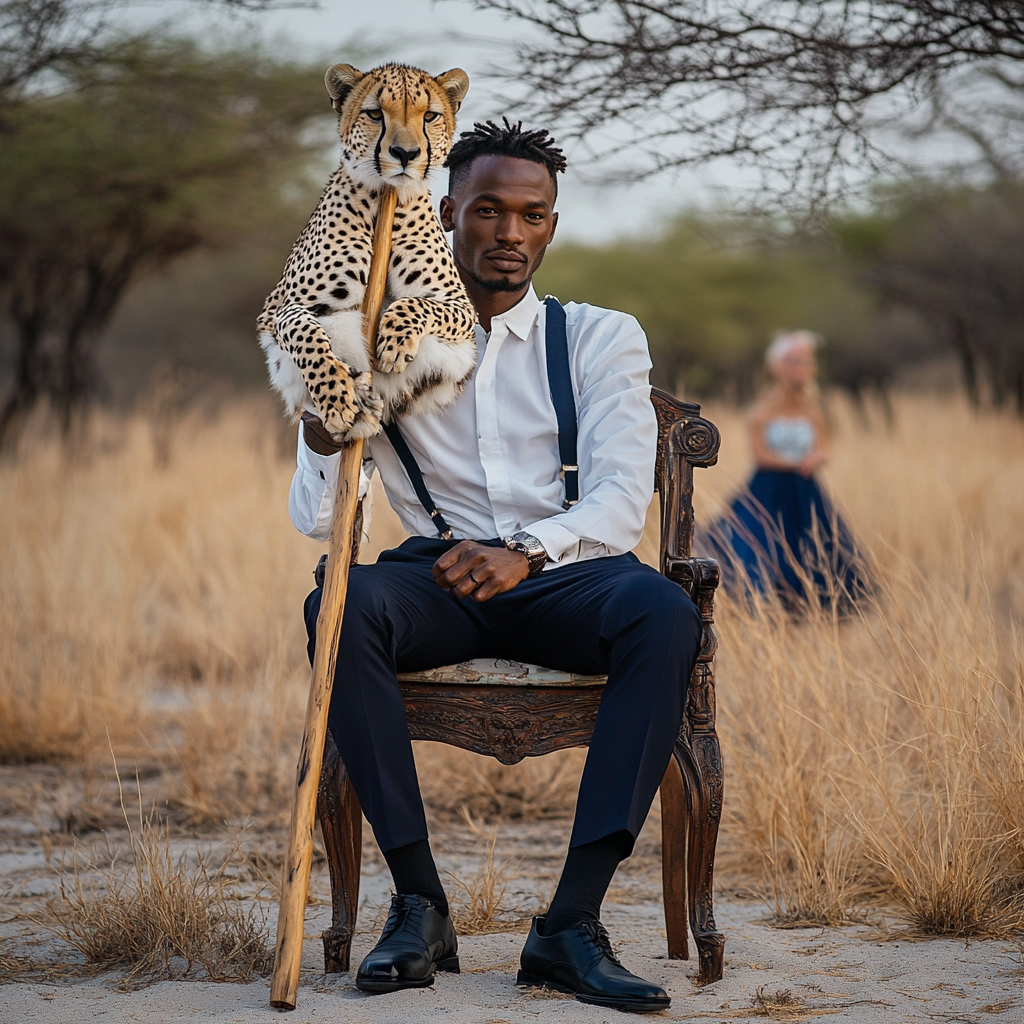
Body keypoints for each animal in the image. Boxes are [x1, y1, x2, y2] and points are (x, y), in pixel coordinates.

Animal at [256, 62, 479, 440]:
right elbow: (306, 335)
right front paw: (337, 398)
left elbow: (416, 303)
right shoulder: (282, 310)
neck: (383, 199)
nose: (405, 154)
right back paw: (358, 403)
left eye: (430, 116)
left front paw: (395, 341)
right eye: (375, 114)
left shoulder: (460, 306)